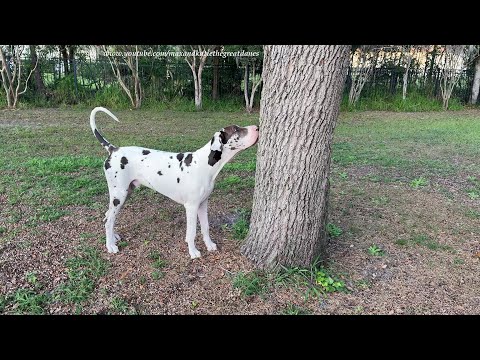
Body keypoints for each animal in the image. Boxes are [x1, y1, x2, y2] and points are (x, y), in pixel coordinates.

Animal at [89, 107, 258, 258]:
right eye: (235, 129)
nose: (257, 127)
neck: (203, 164)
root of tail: (114, 149)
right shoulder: (191, 207)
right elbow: (191, 232)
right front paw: (193, 252)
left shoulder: (203, 204)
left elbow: (206, 227)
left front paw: (209, 244)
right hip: (119, 195)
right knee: (108, 220)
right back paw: (110, 245)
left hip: (124, 194)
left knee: (108, 216)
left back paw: (113, 237)